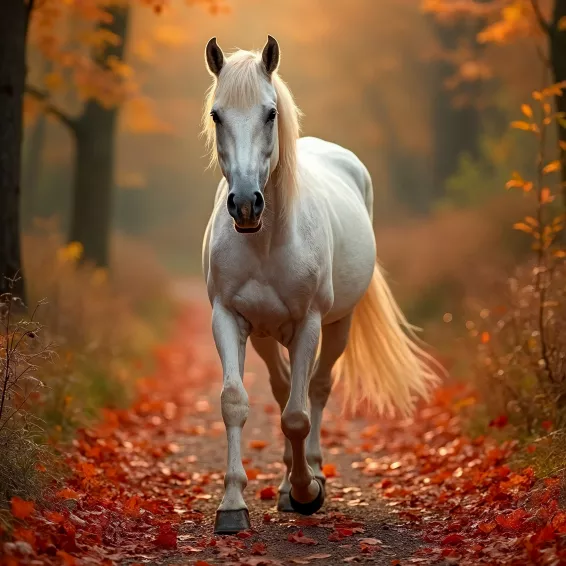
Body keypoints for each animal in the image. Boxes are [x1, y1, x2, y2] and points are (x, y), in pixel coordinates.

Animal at [202, 36, 442, 536]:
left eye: (270, 113)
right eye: (217, 115)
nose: (246, 205)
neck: (266, 240)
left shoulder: (308, 324)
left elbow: (297, 416)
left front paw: (306, 492)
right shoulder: (227, 318)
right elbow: (235, 402)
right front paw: (233, 505)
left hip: (336, 327)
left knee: (316, 390)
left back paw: (309, 474)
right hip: (266, 336)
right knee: (281, 389)